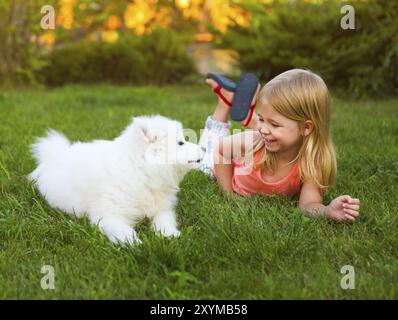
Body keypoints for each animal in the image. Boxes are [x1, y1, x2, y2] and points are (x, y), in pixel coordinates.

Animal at [28, 115, 205, 245]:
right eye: (181, 143)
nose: (204, 147)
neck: (140, 170)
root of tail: (56, 154)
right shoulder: (108, 216)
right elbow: (124, 231)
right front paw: (135, 244)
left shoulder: (161, 208)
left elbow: (165, 221)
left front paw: (171, 235)